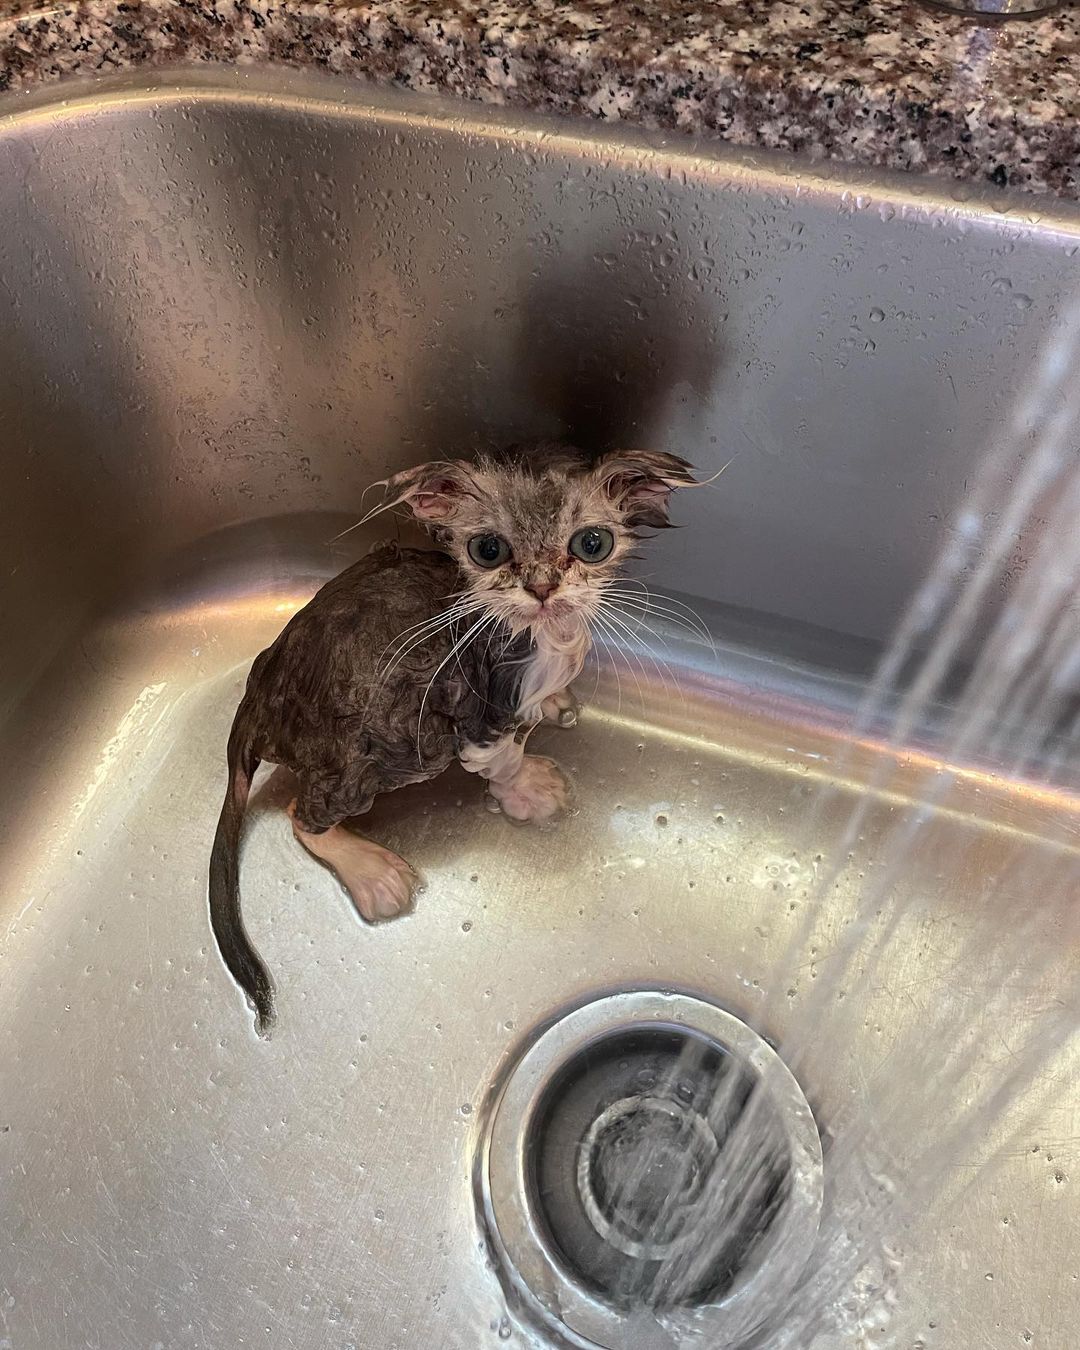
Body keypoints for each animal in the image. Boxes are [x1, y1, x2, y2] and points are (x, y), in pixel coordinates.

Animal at [209, 442, 696, 1031]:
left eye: (591, 543)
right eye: (488, 550)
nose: (542, 587)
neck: (543, 636)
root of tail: (259, 694)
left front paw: (555, 701)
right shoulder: (478, 712)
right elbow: (505, 758)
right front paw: (531, 791)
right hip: (379, 754)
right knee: (302, 813)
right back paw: (372, 872)